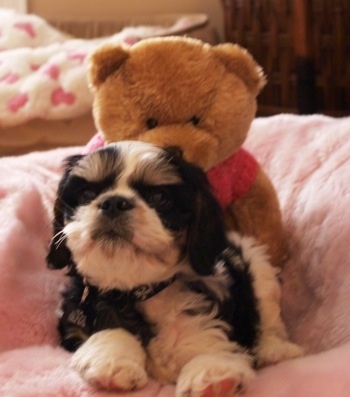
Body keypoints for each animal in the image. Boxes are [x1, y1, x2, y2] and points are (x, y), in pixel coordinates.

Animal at [47, 141, 304, 394]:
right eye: (87, 194)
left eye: (160, 197)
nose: (113, 202)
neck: (140, 291)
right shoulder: (75, 321)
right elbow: (107, 330)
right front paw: (113, 360)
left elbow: (211, 342)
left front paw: (212, 372)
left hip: (259, 269)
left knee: (269, 319)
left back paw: (275, 350)